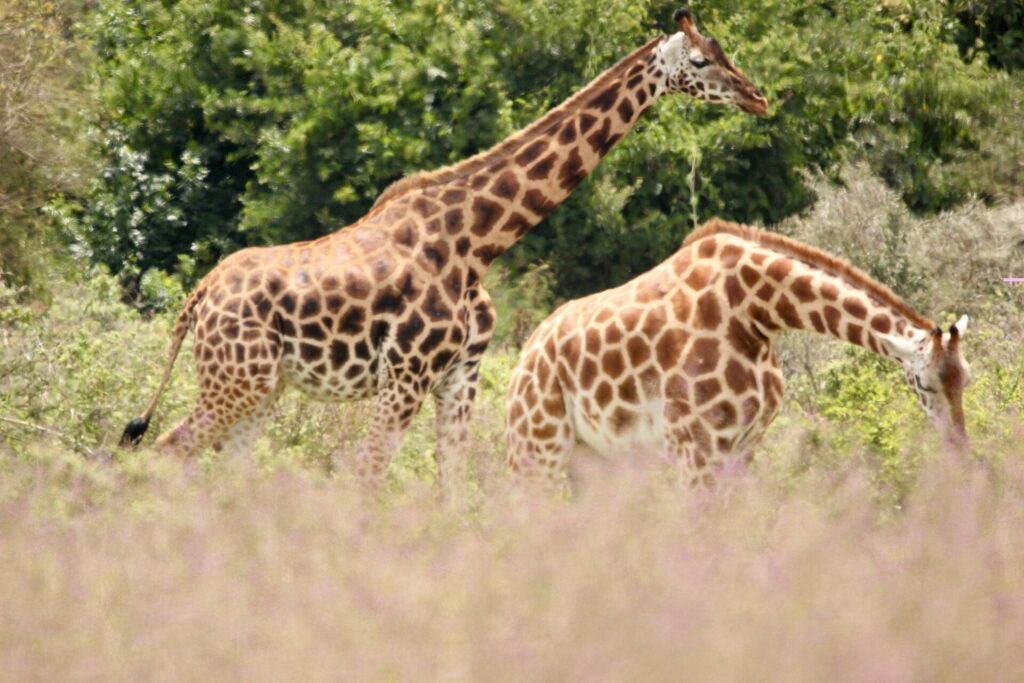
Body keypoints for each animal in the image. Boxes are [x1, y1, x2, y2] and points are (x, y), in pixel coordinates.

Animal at [120, 9, 769, 496]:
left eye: (726, 50)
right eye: (700, 61)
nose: (758, 96)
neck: (476, 242)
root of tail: (199, 296)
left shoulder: (462, 375)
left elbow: (454, 486)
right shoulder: (407, 373)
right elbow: (369, 474)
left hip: (260, 386)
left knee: (225, 466)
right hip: (236, 379)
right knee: (165, 450)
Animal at [505, 219, 971, 490]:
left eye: (966, 378)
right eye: (925, 383)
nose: (960, 445)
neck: (756, 313)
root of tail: (525, 355)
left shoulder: (742, 448)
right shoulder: (697, 449)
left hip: (597, 461)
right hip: (537, 449)